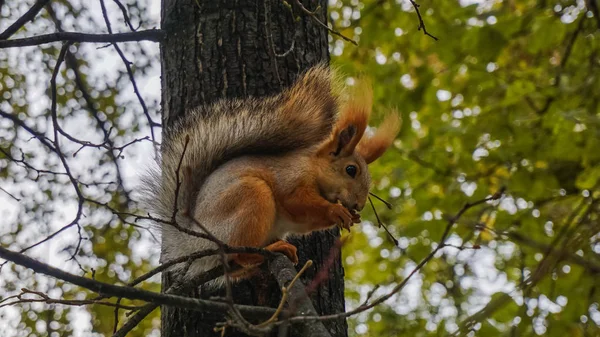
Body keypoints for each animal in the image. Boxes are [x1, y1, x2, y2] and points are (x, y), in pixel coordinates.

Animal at [141, 64, 400, 280]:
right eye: (351, 170)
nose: (359, 205)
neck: (313, 168)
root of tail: (194, 242)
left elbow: (305, 222)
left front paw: (350, 217)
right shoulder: (290, 179)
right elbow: (297, 201)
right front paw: (335, 210)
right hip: (249, 197)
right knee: (240, 253)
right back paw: (270, 250)